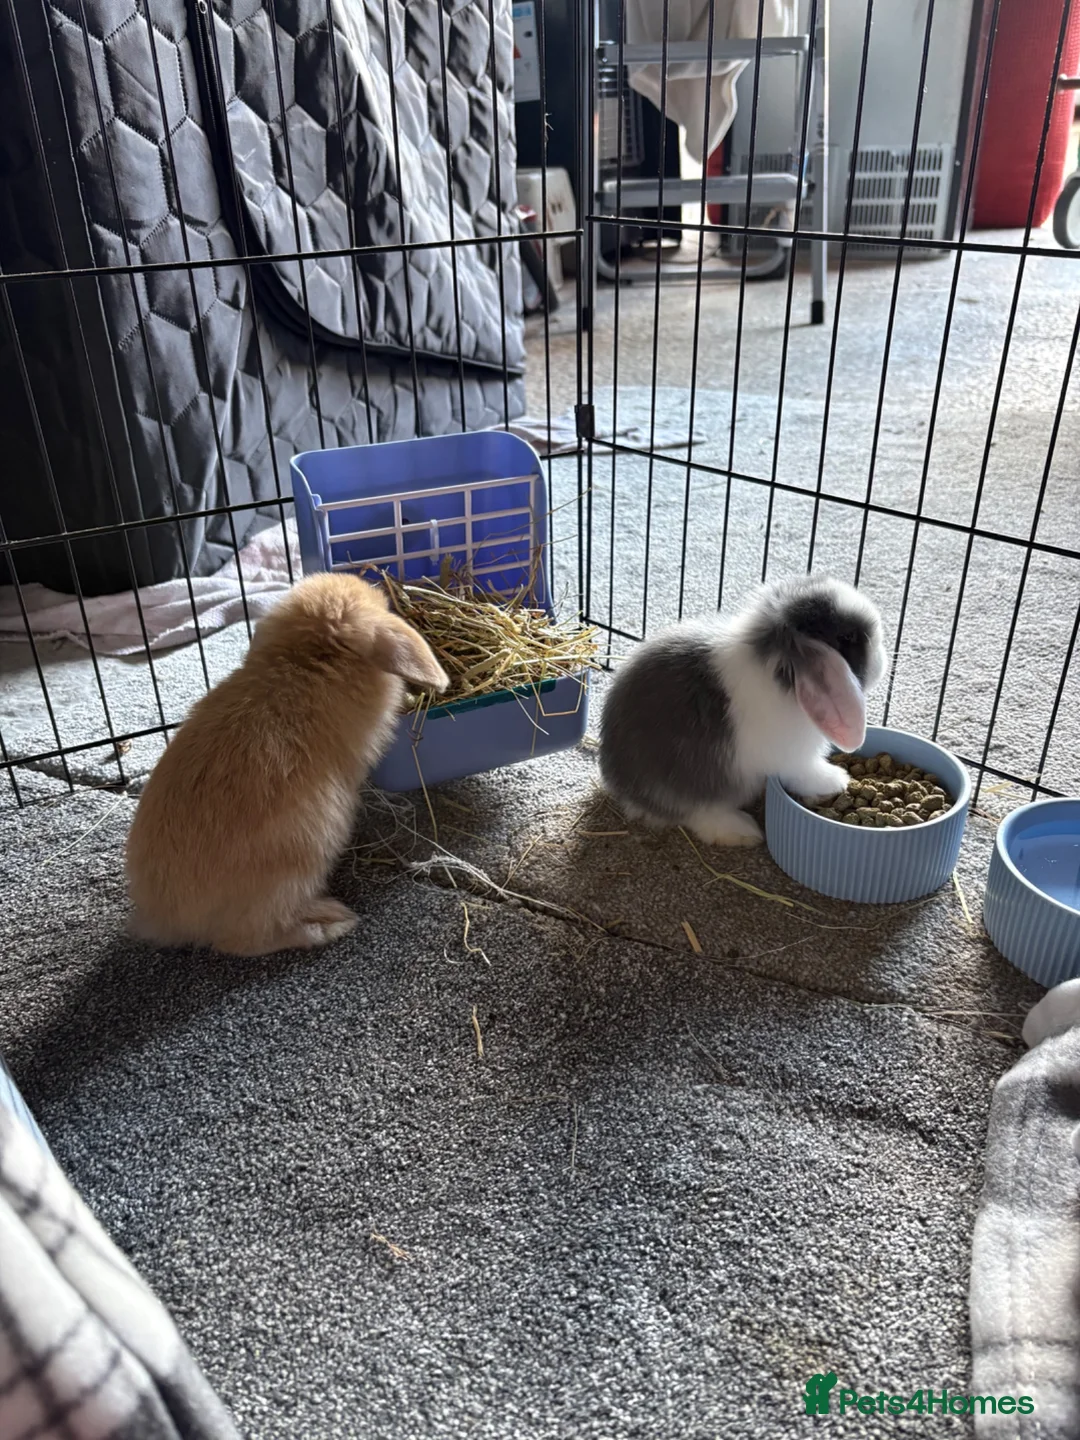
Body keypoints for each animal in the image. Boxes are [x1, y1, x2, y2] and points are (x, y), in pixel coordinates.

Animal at [598, 574, 887, 848]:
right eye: (846, 637)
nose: (881, 660)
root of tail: (620, 783)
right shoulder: (795, 758)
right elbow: (805, 774)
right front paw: (837, 781)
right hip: (692, 784)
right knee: (698, 813)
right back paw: (743, 832)